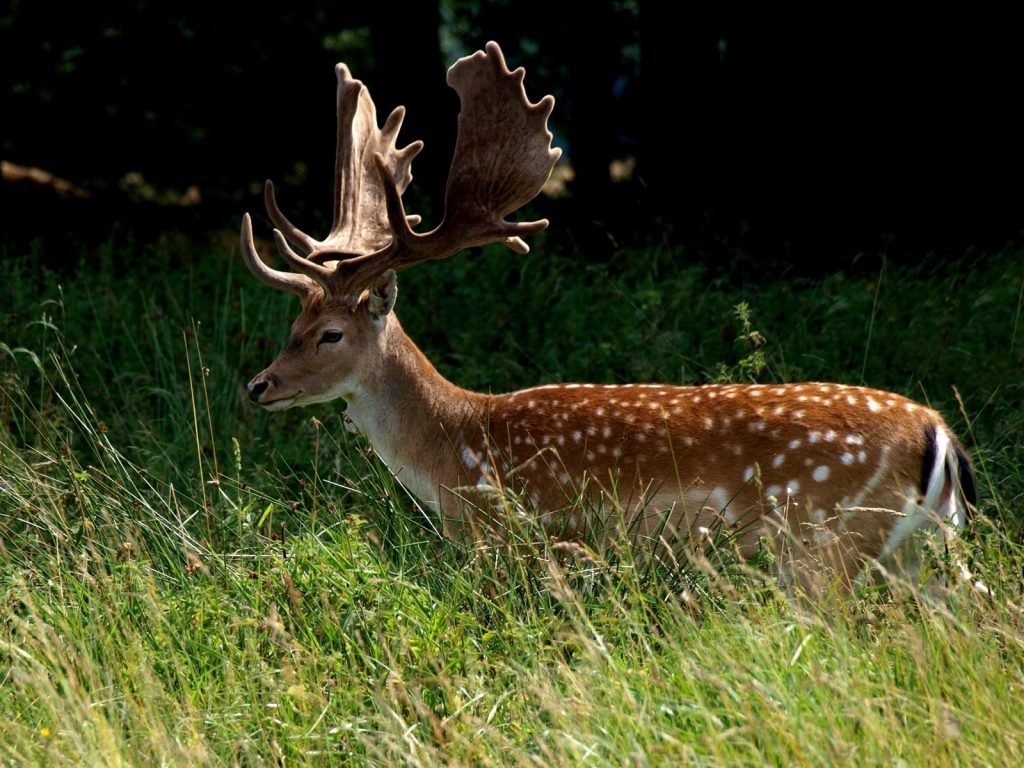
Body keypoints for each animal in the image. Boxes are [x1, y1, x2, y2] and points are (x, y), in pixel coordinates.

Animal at [239, 40, 974, 593]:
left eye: (330, 334)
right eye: (292, 324)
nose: (258, 385)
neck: (455, 451)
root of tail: (934, 432)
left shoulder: (518, 537)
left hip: (823, 538)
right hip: (920, 549)